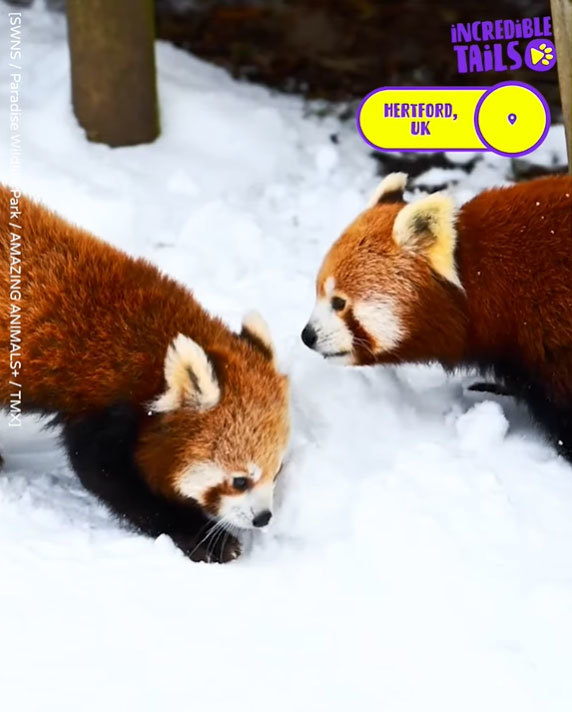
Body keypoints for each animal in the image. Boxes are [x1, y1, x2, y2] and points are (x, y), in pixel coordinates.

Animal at [1, 186, 290, 564]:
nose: (263, 517)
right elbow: (106, 475)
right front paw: (203, 537)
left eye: (278, 470)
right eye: (240, 480)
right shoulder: (104, 406)